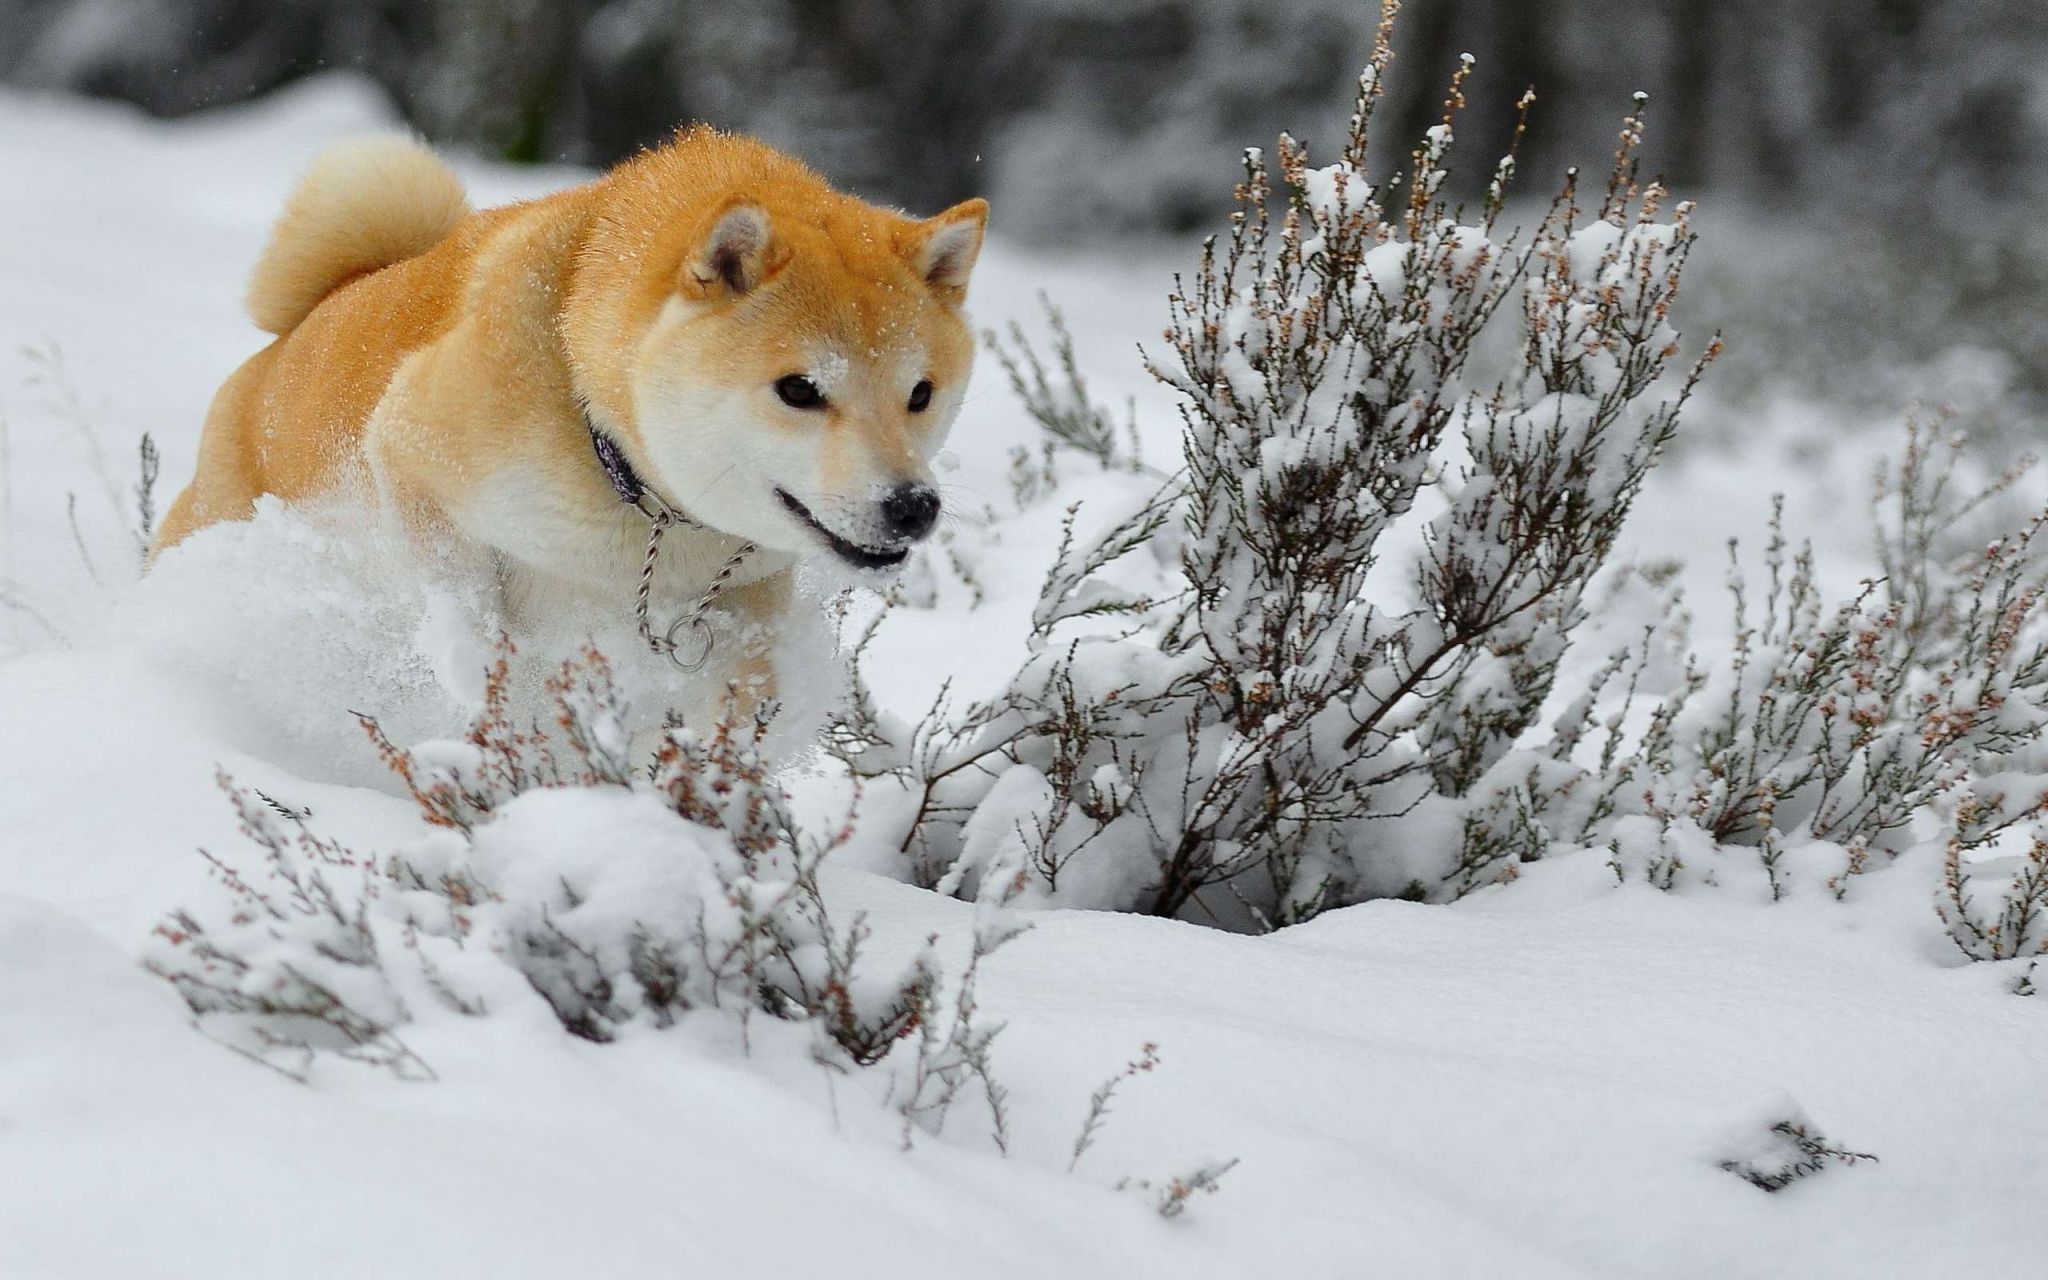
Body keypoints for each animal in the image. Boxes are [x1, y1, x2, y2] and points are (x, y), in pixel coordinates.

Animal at [155, 128, 987, 704]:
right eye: (800, 390)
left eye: (920, 394)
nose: (912, 506)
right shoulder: (410, 448)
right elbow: (464, 605)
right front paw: (480, 679)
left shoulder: (746, 590)